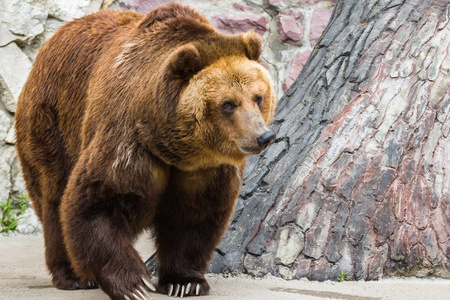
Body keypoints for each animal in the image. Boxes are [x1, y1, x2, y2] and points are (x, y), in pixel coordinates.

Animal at [15, 2, 276, 300]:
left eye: (258, 97)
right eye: (228, 103)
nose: (263, 136)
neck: (174, 146)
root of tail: (51, 41)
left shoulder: (204, 169)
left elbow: (195, 216)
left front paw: (184, 282)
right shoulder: (129, 140)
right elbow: (98, 200)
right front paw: (134, 284)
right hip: (52, 122)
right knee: (54, 196)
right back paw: (73, 275)